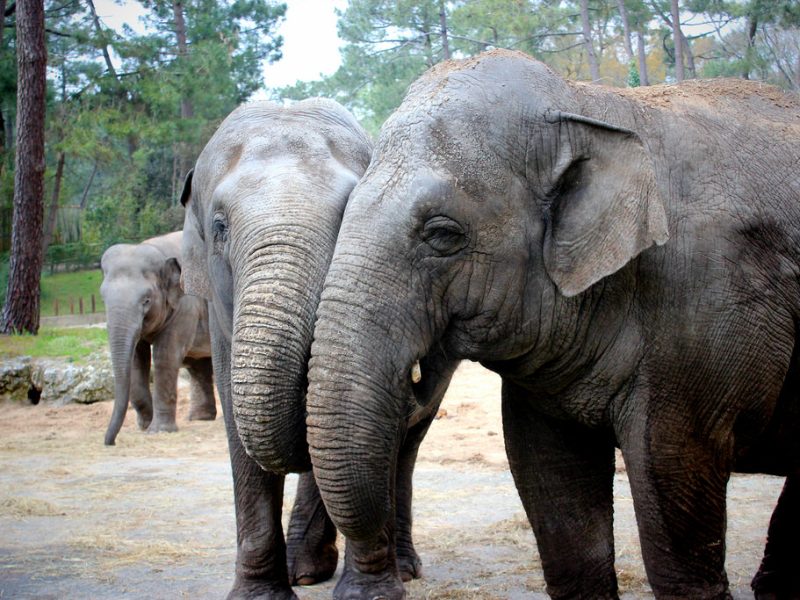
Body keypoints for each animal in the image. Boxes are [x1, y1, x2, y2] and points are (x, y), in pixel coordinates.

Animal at [101, 232, 217, 448]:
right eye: (102, 298)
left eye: (146, 300)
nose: (110, 442)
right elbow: (137, 360)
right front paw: (146, 424)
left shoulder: (186, 304)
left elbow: (166, 356)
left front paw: (159, 431)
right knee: (198, 364)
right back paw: (200, 418)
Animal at [180, 99, 450, 600]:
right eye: (219, 227)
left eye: (348, 219)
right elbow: (238, 419)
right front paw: (259, 596)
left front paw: (370, 594)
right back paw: (304, 571)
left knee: (404, 445)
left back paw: (395, 568)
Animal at [304, 48, 800, 600]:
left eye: (442, 235)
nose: (387, 578)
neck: (589, 104)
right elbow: (550, 484)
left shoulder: (706, 301)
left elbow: (673, 483)